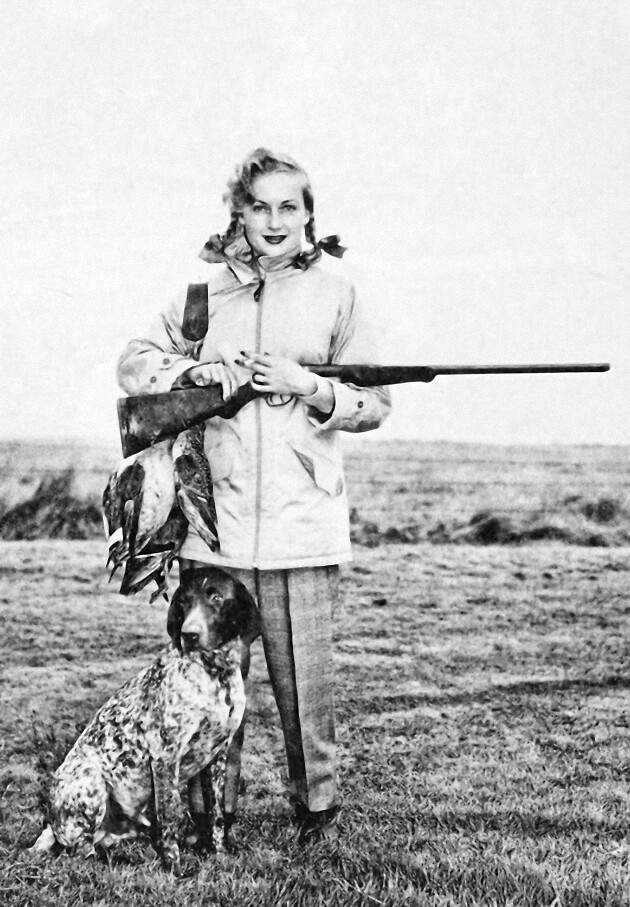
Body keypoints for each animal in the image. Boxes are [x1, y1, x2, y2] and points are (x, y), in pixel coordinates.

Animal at [31, 567, 259, 873]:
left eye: (217, 598)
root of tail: (52, 825)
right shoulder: (165, 758)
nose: (189, 635)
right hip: (91, 781)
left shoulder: (218, 755)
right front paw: (174, 867)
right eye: (184, 602)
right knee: (79, 851)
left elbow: (217, 815)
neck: (215, 674)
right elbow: (170, 815)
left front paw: (219, 854)